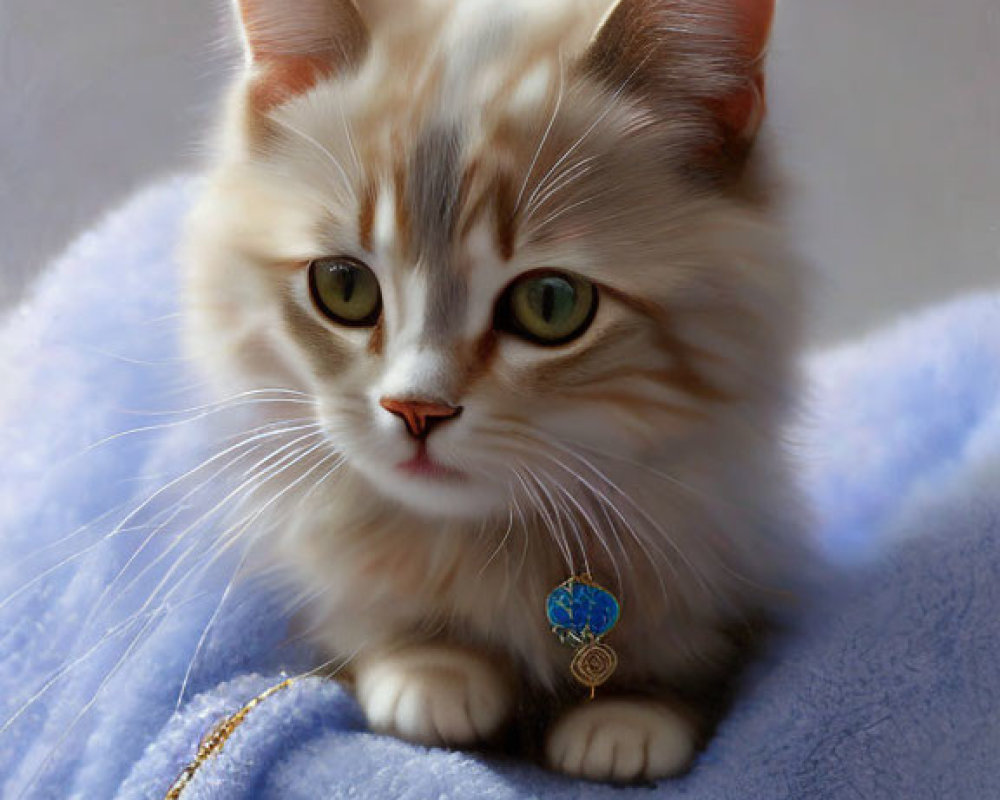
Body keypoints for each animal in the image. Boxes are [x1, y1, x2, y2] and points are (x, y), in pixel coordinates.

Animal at [180, 0, 804, 780]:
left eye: (551, 302)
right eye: (344, 287)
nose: (416, 409)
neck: (495, 540)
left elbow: (699, 657)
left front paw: (631, 714)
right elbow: (373, 627)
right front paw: (432, 671)